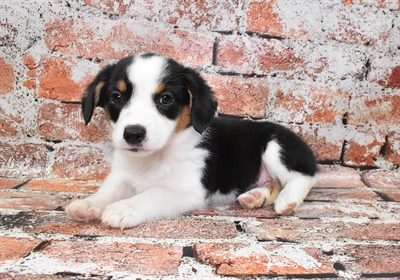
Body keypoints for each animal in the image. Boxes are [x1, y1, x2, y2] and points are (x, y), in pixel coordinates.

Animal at [65, 52, 318, 230]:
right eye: (116, 97)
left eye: (166, 98)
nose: (133, 134)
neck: (155, 158)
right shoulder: (123, 175)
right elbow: (108, 190)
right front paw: (89, 203)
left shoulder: (187, 190)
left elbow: (150, 194)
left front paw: (123, 208)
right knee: (275, 182)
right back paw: (256, 197)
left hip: (275, 145)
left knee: (304, 176)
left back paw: (288, 200)